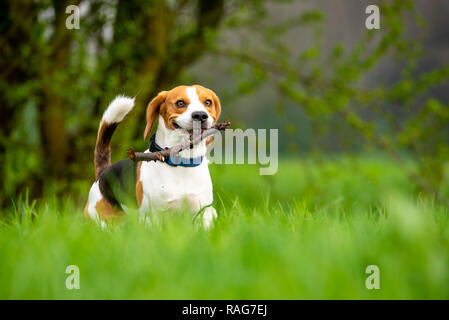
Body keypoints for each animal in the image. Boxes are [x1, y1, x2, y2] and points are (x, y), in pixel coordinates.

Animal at [83, 85, 220, 228]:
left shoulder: (202, 213)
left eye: (208, 102)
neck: (183, 163)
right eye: (180, 103)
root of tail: (102, 174)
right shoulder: (153, 217)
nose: (200, 115)